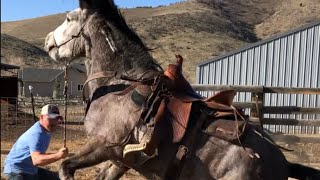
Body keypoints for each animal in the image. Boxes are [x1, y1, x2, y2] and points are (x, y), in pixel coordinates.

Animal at [44, 0, 320, 179]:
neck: (120, 86)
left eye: (68, 18)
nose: (47, 41)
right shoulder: (120, 159)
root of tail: (282, 163)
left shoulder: (105, 145)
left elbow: (66, 167)